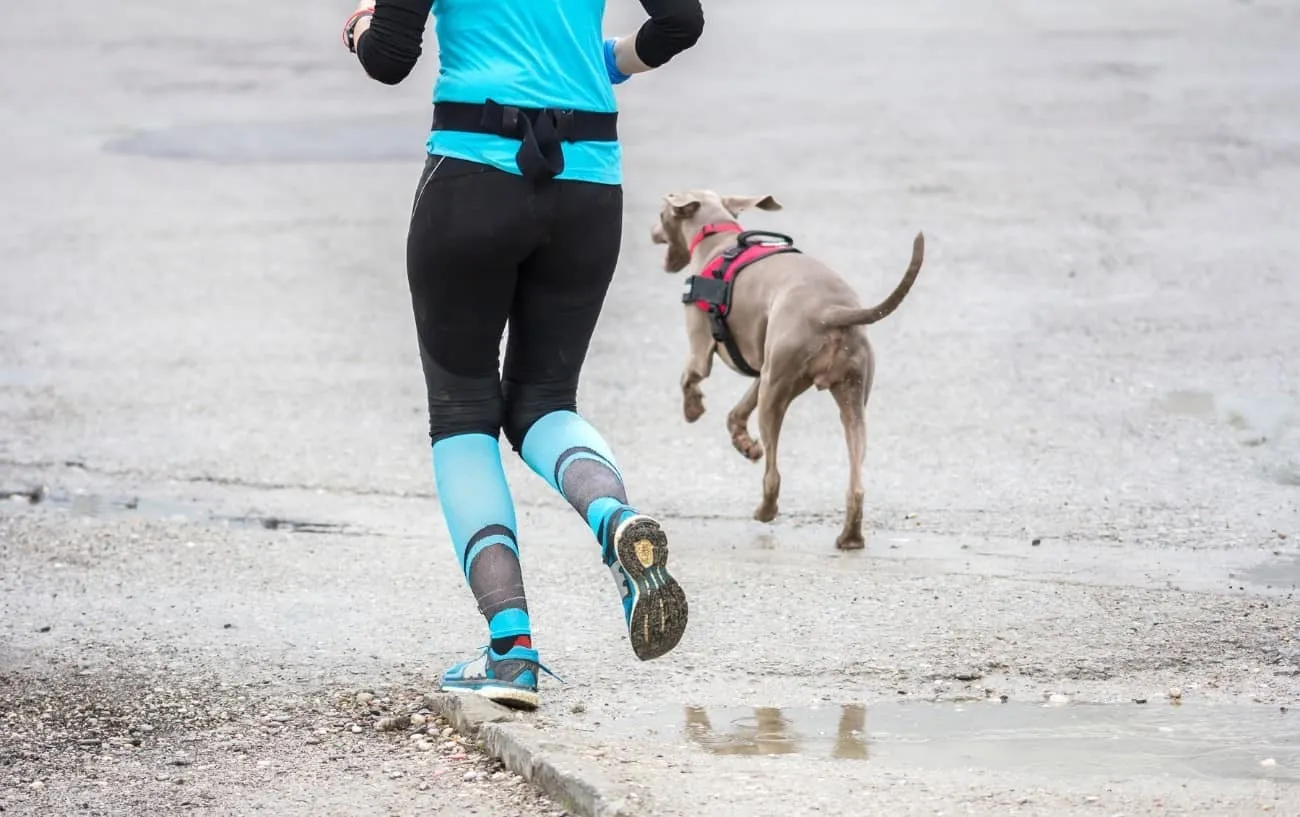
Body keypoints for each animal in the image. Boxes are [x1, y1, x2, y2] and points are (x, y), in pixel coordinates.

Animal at [644, 191, 920, 549]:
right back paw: (850, 537)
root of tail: (832, 311)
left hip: (777, 395)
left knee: (773, 475)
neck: (718, 239)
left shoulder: (701, 349)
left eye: (661, 214)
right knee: (856, 483)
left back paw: (764, 511)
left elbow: (689, 378)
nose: (651, 232)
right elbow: (736, 411)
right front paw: (745, 444)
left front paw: (693, 410)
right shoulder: (764, 368)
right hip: (848, 396)